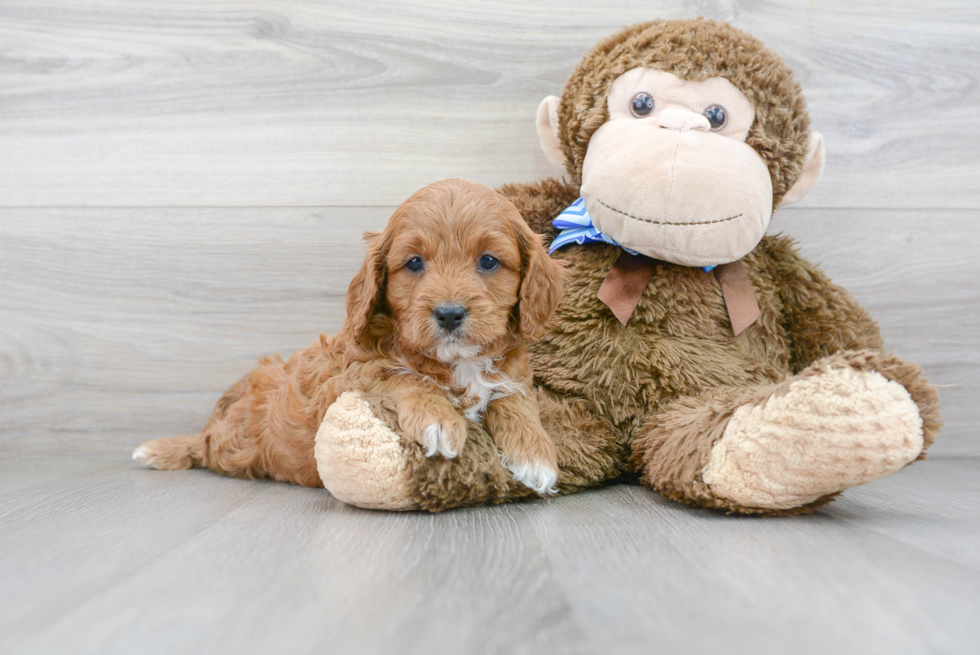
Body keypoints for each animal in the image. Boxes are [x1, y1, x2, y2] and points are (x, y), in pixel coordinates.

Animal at [136, 177, 568, 494]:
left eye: (489, 261)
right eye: (414, 263)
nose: (448, 313)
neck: (456, 362)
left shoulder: (510, 374)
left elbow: (514, 398)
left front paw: (536, 455)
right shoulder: (349, 375)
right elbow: (400, 375)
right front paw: (438, 419)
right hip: (235, 445)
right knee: (206, 447)